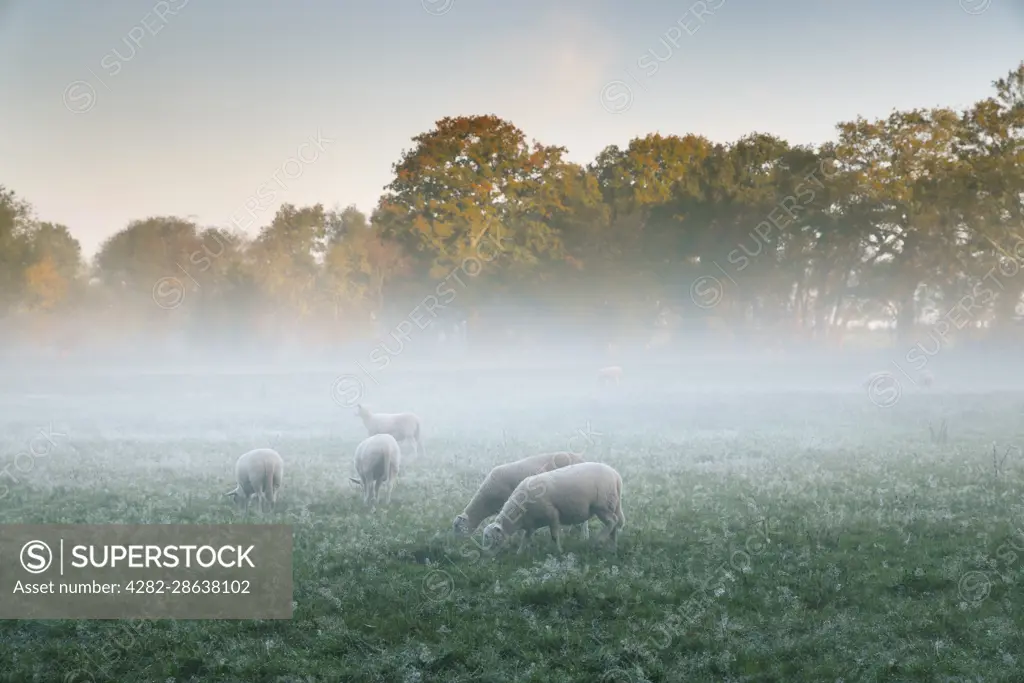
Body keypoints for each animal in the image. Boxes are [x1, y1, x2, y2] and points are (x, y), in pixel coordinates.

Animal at [481, 458, 622, 557]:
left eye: (489, 538)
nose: (487, 555)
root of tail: (616, 476)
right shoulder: (531, 524)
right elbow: (525, 539)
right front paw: (519, 554)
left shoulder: (552, 514)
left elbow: (554, 536)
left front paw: (559, 551)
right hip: (612, 505)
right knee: (614, 525)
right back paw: (613, 547)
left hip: (603, 505)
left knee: (612, 522)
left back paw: (599, 541)